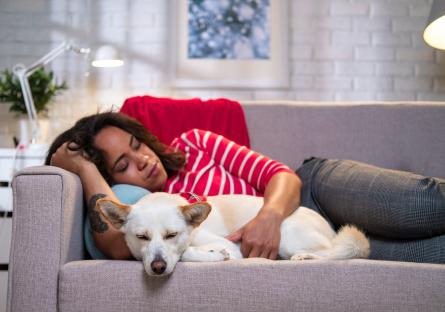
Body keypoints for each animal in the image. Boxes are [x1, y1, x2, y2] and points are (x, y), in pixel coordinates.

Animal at [96, 191, 368, 276]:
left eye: (172, 235)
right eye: (141, 237)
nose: (158, 268)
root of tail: (330, 229)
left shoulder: (235, 249)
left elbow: (186, 253)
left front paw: (215, 255)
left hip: (287, 234)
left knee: (333, 253)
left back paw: (306, 257)